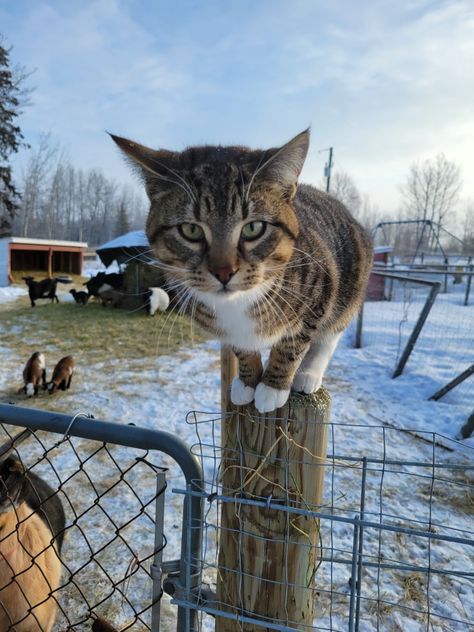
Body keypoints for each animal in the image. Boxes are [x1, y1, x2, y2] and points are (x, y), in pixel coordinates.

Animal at [112, 130, 374, 412]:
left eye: (253, 228)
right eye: (190, 230)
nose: (224, 271)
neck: (238, 303)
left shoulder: (320, 289)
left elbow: (293, 343)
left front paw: (272, 387)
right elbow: (241, 347)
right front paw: (248, 381)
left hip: (351, 284)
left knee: (331, 333)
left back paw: (308, 374)